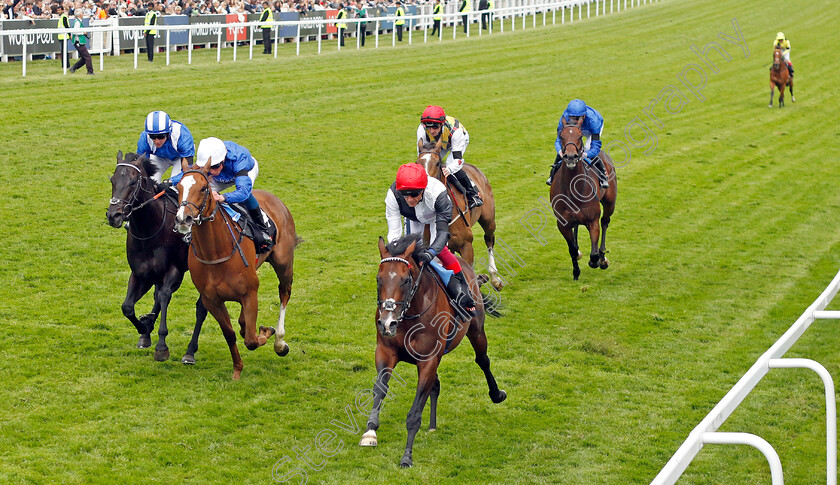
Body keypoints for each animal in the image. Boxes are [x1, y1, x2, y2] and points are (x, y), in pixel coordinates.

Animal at [106, 151, 208, 364]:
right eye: (113, 180)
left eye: (133, 182)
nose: (113, 215)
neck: (149, 229)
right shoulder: (140, 274)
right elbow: (127, 307)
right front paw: (144, 328)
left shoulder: (174, 271)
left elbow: (164, 296)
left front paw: (161, 346)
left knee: (201, 308)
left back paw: (190, 352)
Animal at [172, 159, 300, 378]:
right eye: (179, 187)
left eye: (204, 188)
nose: (183, 219)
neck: (215, 252)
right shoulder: (212, 300)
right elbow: (230, 334)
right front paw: (237, 369)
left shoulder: (250, 294)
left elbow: (251, 339)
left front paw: (266, 332)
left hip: (283, 263)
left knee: (284, 293)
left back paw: (280, 343)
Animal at [356, 233, 506, 466]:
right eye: (379, 279)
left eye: (405, 280)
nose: (387, 323)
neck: (409, 315)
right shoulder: (385, 351)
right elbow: (380, 388)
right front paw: (370, 431)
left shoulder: (427, 360)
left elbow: (415, 412)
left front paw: (407, 455)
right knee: (436, 384)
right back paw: (432, 425)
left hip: (476, 330)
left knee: (483, 360)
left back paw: (496, 394)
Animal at [416, 140, 502, 292]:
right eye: (417, 163)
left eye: (437, 163)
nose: (425, 188)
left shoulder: (466, 245)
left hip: (488, 220)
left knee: (489, 239)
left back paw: (494, 278)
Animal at [552, 121, 616, 280]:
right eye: (561, 136)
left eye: (580, 136)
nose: (570, 156)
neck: (572, 189)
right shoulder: (563, 224)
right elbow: (573, 250)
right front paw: (576, 272)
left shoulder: (593, 221)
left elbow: (593, 254)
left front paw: (597, 260)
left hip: (610, 203)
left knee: (605, 222)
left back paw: (603, 258)